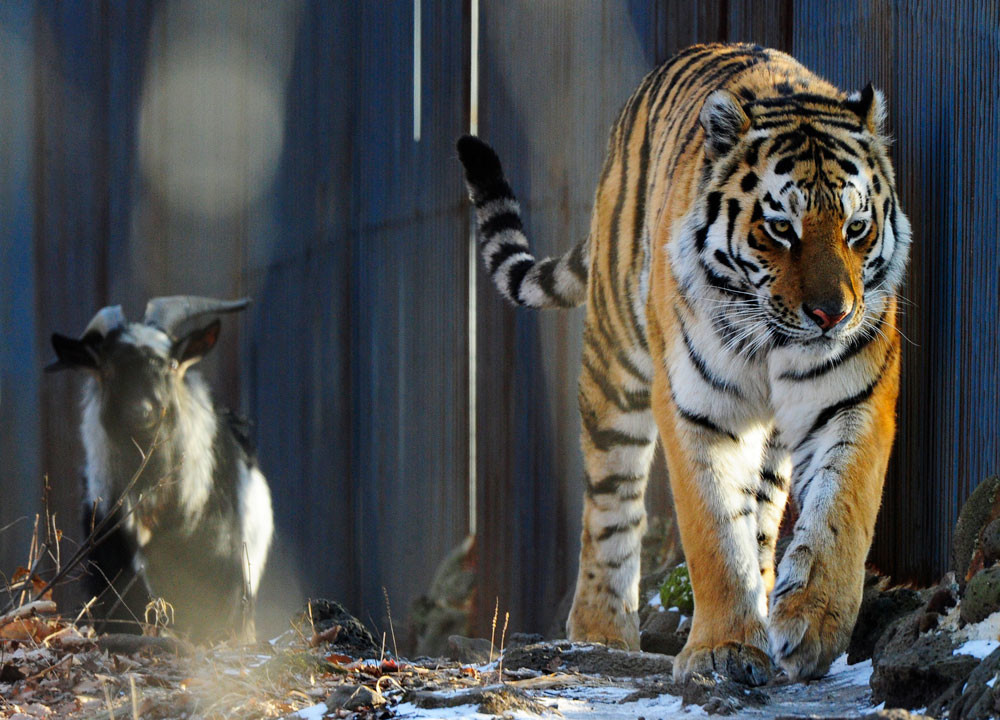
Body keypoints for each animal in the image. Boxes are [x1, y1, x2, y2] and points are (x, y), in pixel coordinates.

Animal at [458, 42, 912, 684]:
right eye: (781, 228)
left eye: (856, 228)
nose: (832, 315)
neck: (772, 339)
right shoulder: (697, 406)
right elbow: (714, 533)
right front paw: (724, 647)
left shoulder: (853, 398)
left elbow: (839, 513)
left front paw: (812, 626)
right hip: (615, 369)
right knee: (610, 505)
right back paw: (601, 631)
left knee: (763, 512)